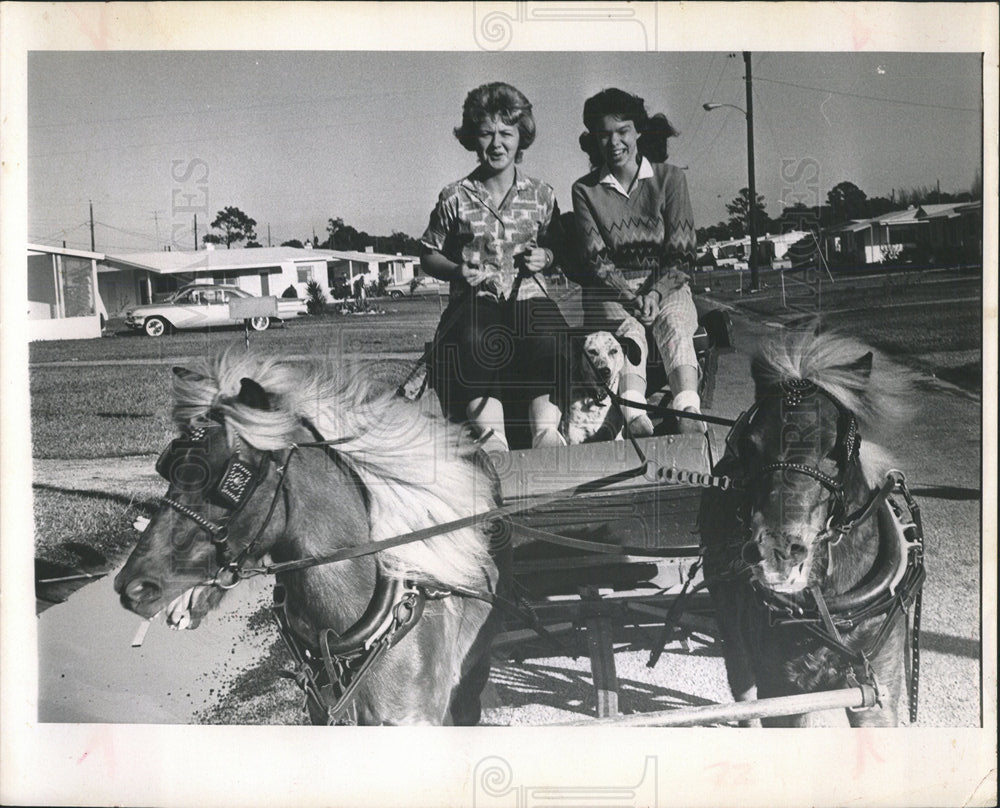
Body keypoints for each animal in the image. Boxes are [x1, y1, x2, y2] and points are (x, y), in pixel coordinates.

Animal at [700, 328, 916, 724]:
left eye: (837, 447)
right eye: (750, 445)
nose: (777, 552)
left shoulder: (879, 689)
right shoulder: (783, 691)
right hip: (730, 629)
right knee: (742, 689)